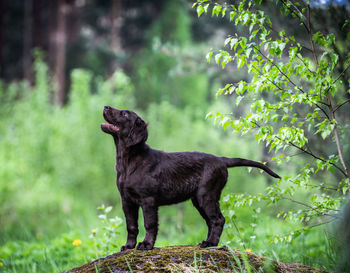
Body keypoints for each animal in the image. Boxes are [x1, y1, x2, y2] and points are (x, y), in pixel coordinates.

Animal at [100, 105, 280, 250]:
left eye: (124, 114)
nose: (106, 106)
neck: (128, 160)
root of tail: (221, 160)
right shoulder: (127, 200)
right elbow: (131, 226)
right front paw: (129, 246)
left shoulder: (148, 200)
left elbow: (149, 224)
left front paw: (146, 245)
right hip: (198, 200)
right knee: (211, 221)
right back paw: (207, 242)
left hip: (206, 195)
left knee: (218, 220)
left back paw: (210, 244)